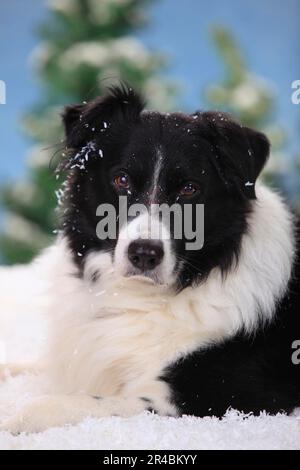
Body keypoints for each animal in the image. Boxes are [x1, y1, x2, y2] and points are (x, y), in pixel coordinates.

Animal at [0, 85, 300, 434]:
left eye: (189, 189)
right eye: (122, 180)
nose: (144, 254)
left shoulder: (219, 396)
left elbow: (65, 403)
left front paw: (16, 419)